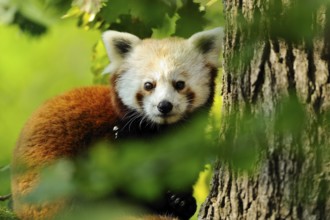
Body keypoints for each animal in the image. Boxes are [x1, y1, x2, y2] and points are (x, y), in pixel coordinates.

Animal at [10, 27, 222, 220]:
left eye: (179, 84)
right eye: (148, 85)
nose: (164, 106)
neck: (159, 130)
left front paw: (182, 202)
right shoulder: (116, 142)